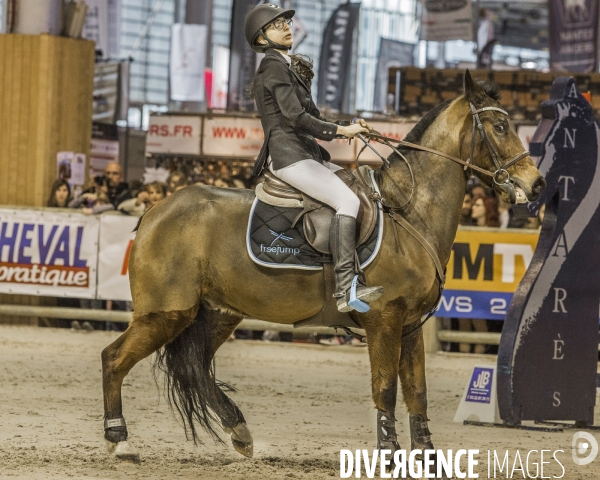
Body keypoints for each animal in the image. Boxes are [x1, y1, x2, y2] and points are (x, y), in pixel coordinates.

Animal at [102, 71, 544, 462]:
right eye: (500, 126)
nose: (537, 183)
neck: (409, 213)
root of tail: (154, 211)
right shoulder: (384, 320)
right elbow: (385, 388)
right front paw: (388, 454)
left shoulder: (409, 324)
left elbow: (417, 391)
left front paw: (426, 457)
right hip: (167, 313)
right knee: (114, 359)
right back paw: (119, 441)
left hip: (217, 313)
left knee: (195, 367)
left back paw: (240, 432)